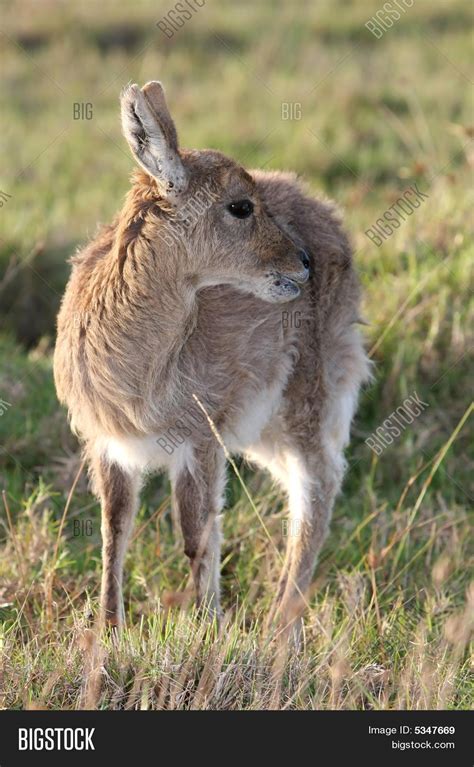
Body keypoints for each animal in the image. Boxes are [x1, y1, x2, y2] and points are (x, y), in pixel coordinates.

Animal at [53, 82, 368, 632]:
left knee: (319, 484)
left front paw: (206, 632)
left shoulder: (201, 438)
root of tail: (326, 210)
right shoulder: (107, 444)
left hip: (307, 399)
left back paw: (278, 629)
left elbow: (195, 534)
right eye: (240, 205)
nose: (302, 262)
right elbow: (115, 530)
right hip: (265, 428)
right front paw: (108, 632)